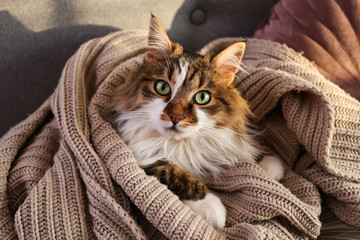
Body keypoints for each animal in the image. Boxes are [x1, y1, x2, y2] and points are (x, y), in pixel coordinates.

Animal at [109, 15, 284, 229]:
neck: (182, 145)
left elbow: (240, 146)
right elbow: (169, 169)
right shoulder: (135, 153)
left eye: (202, 97)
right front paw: (212, 206)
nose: (175, 117)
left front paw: (268, 164)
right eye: (162, 87)